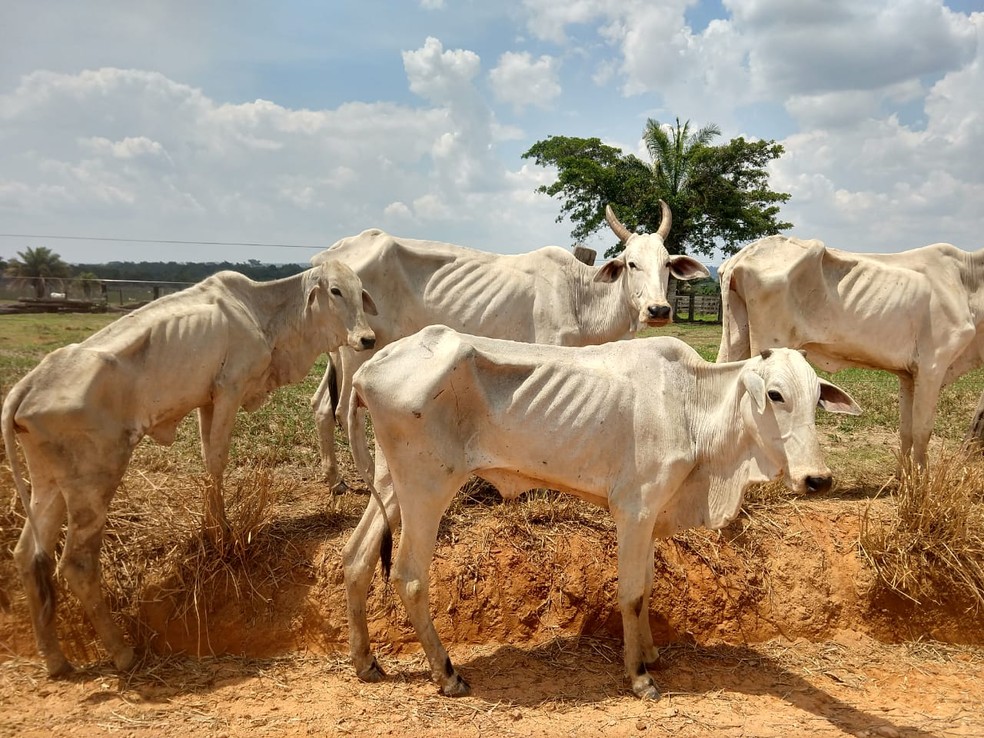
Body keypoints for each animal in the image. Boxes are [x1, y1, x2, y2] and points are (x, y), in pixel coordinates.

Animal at [1, 258, 378, 672]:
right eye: (334, 291)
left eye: (360, 290)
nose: (367, 339)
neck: (263, 313)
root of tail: (29, 384)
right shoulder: (228, 390)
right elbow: (217, 459)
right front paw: (222, 533)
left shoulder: (206, 400)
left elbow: (208, 457)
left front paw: (212, 527)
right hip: (94, 482)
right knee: (75, 564)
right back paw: (122, 653)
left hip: (48, 484)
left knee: (27, 555)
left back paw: (55, 660)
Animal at [310, 200, 708, 488]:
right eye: (630, 264)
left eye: (667, 264)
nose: (659, 310)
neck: (581, 295)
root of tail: (327, 258)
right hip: (358, 348)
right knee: (345, 412)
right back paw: (365, 481)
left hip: (339, 353)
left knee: (322, 406)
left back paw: (335, 480)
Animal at [340, 324, 860, 700]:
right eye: (774, 395)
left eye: (817, 398)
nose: (817, 479)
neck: (691, 406)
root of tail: (369, 369)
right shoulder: (635, 508)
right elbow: (631, 593)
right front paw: (640, 677)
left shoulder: (650, 514)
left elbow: (648, 585)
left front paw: (651, 652)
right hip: (426, 488)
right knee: (409, 576)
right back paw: (447, 675)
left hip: (390, 486)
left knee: (355, 559)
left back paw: (366, 662)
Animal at [716, 234, 984, 466]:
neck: (967, 282)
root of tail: (741, 257)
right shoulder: (933, 367)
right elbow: (922, 432)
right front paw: (920, 485)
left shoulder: (909, 375)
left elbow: (906, 431)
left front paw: (903, 480)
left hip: (736, 338)